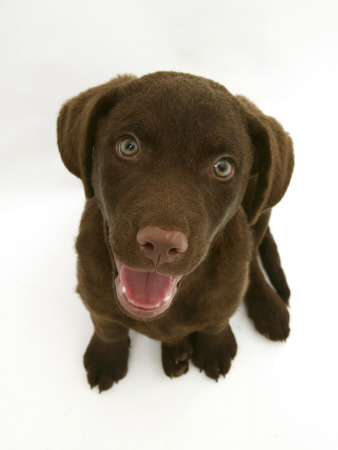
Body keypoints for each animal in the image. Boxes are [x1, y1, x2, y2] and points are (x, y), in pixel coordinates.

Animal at [57, 72, 294, 392]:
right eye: (129, 147)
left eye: (222, 167)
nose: (161, 243)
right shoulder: (91, 288)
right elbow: (107, 324)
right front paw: (106, 357)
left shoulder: (227, 287)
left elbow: (217, 319)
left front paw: (215, 348)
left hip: (261, 210)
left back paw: (268, 308)